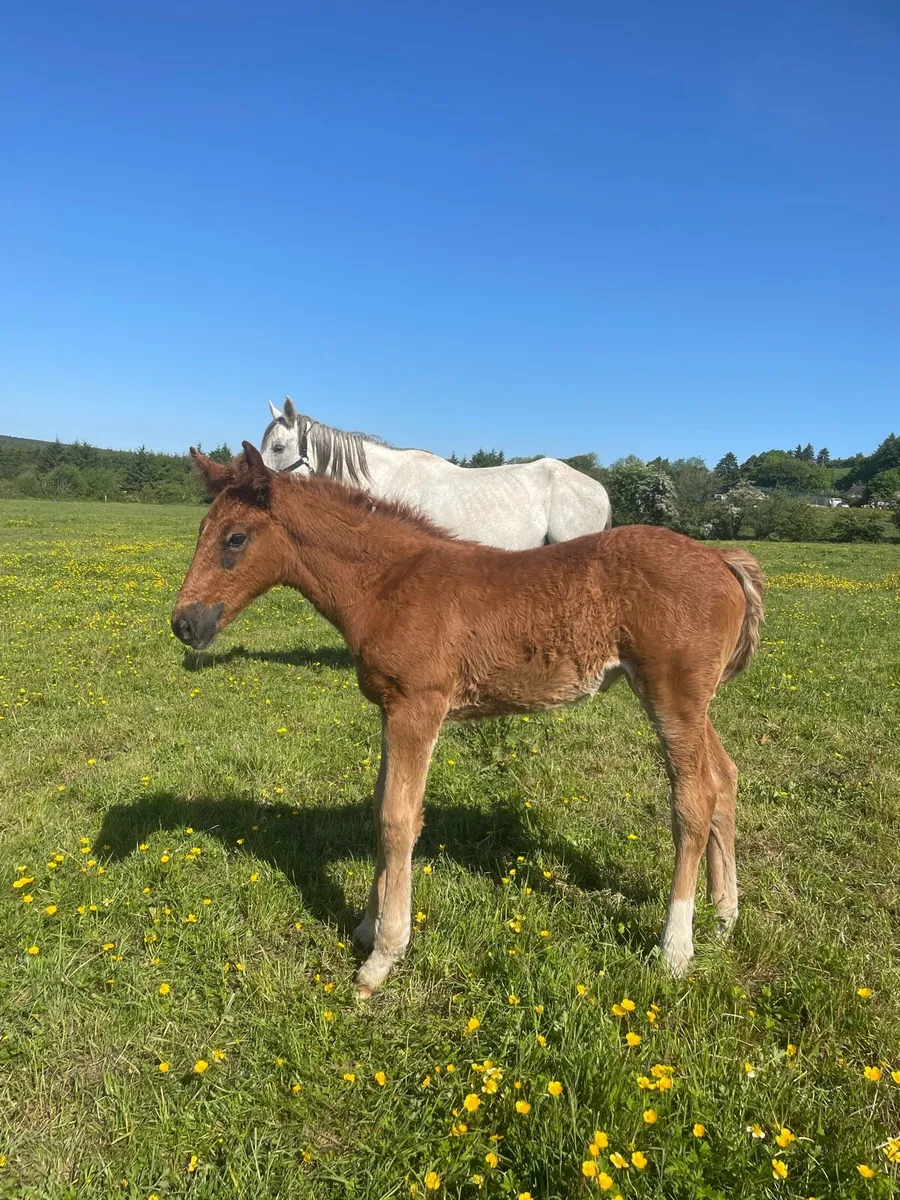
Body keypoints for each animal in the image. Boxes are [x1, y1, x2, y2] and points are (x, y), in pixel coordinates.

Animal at [173, 443, 764, 996]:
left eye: (235, 539)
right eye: (202, 529)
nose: (184, 623)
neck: (388, 583)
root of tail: (722, 561)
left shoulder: (418, 707)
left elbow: (397, 818)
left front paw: (383, 955)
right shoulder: (390, 708)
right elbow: (381, 805)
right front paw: (366, 926)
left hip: (672, 696)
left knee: (693, 800)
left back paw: (676, 947)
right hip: (692, 703)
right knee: (725, 778)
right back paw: (725, 916)